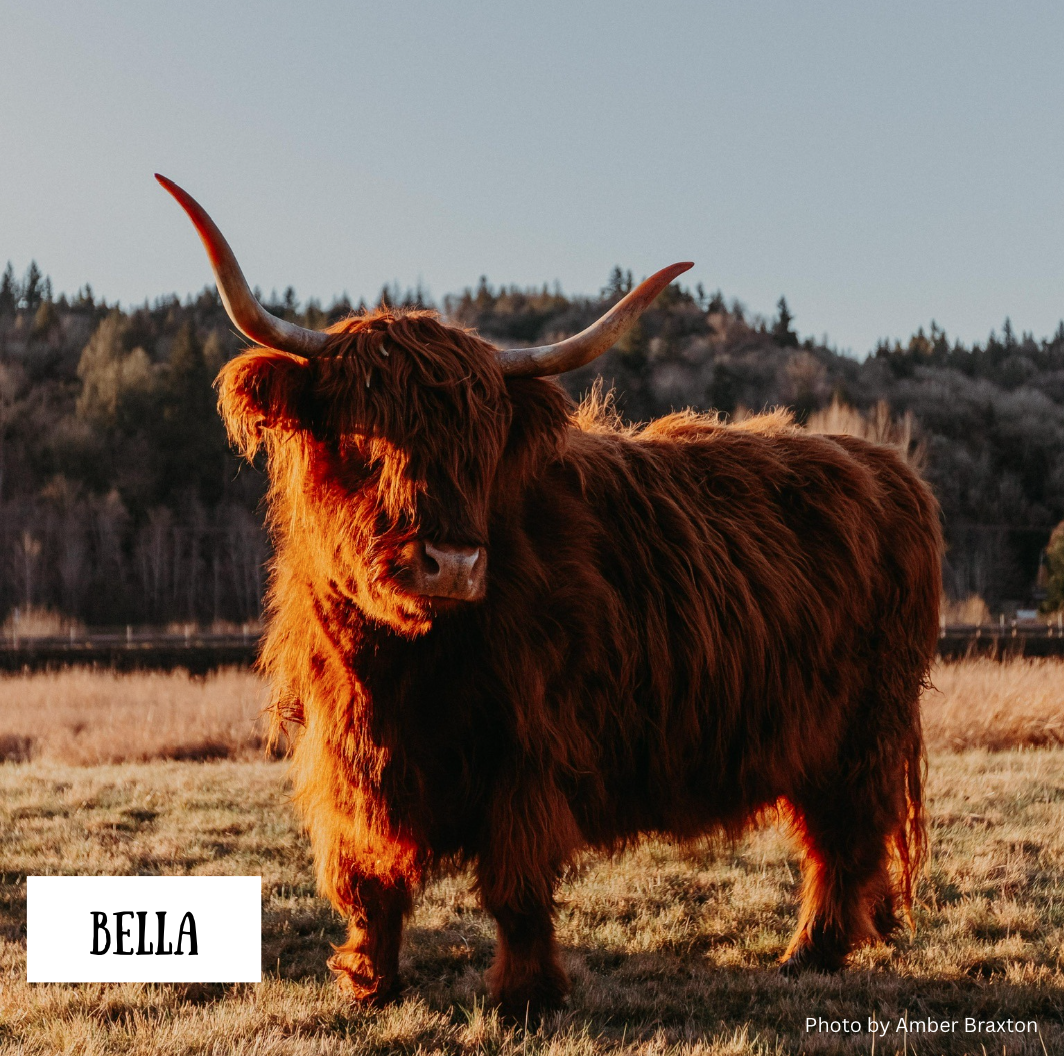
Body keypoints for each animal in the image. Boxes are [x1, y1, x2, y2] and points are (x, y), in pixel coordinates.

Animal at [158, 174, 941, 1017]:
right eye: (364, 440)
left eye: (482, 448)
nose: (452, 563)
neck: (401, 667)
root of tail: (885, 464)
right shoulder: (349, 760)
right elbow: (368, 880)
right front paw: (370, 982)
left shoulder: (528, 751)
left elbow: (516, 884)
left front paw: (526, 995)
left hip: (859, 730)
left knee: (843, 840)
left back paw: (810, 953)